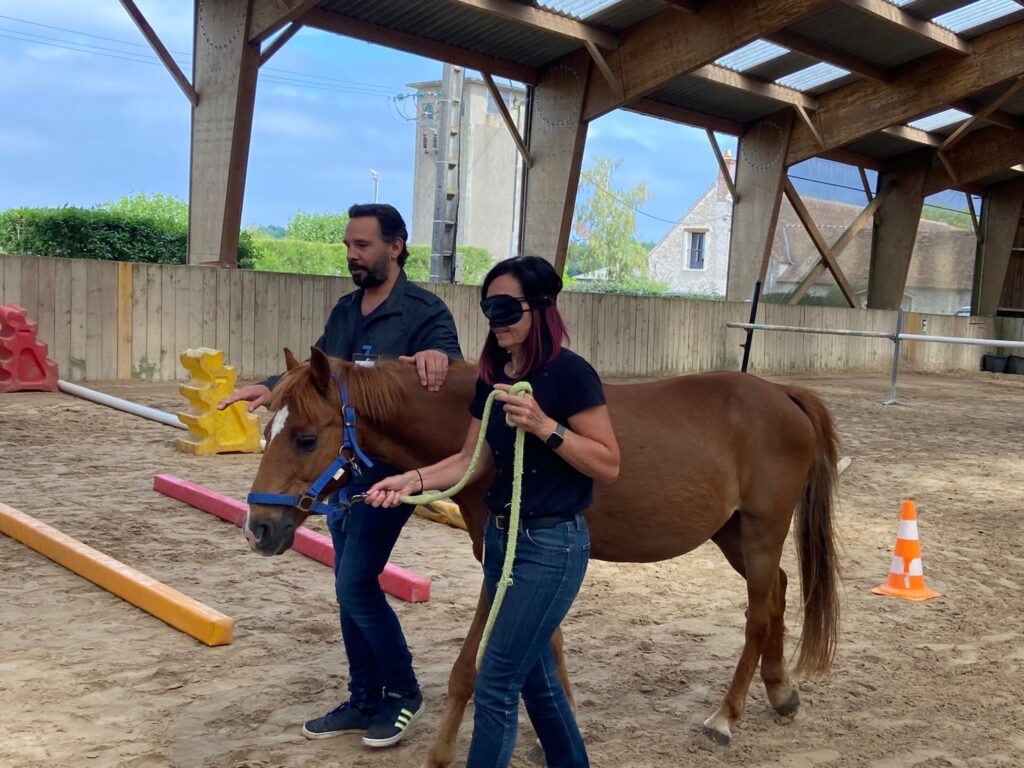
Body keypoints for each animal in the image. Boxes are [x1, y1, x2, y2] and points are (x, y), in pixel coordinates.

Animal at [245, 350, 839, 768]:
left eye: (304, 438)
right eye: (266, 430)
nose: (259, 528)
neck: (486, 434)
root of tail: (784, 395)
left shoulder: (502, 562)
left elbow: (469, 667)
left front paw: (442, 752)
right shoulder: (522, 563)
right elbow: (548, 648)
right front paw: (556, 728)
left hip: (760, 531)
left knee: (759, 613)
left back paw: (724, 717)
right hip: (733, 535)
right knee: (779, 592)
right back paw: (780, 692)